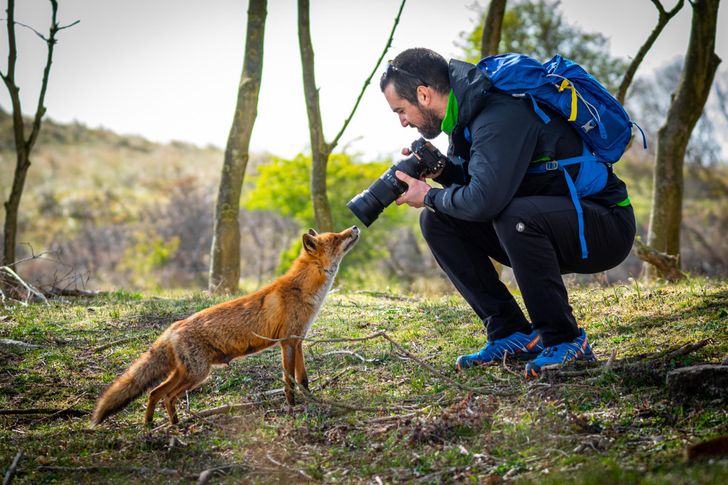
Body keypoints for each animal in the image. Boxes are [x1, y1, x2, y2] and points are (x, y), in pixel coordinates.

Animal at [92, 226, 360, 424]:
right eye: (336, 238)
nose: (355, 227)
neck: (303, 291)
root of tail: (173, 328)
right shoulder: (286, 343)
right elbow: (289, 382)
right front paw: (292, 407)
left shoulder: (298, 340)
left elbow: (303, 379)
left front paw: (312, 400)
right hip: (198, 373)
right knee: (166, 396)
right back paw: (175, 426)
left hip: (185, 373)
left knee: (154, 392)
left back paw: (154, 425)